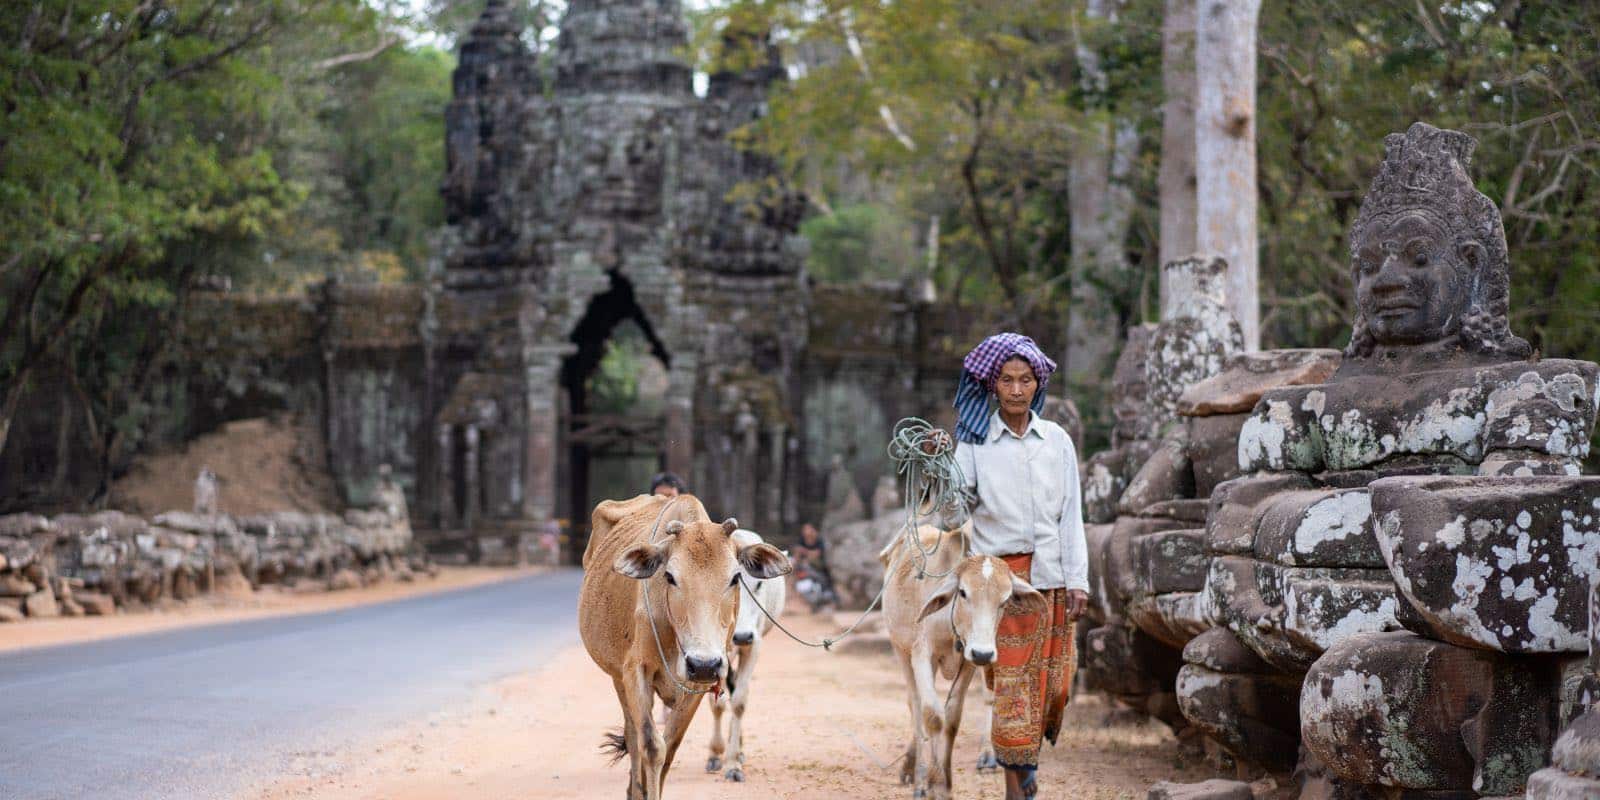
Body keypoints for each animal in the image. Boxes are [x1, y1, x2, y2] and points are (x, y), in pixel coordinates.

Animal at [710, 531, 790, 780]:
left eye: (759, 583)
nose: (742, 636)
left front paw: (733, 763)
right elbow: (717, 703)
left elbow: (739, 702)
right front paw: (715, 754)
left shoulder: (754, 646)